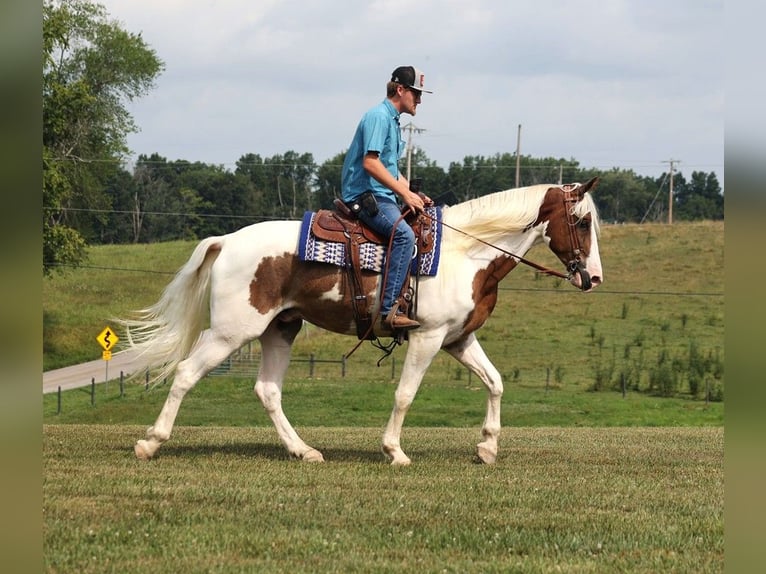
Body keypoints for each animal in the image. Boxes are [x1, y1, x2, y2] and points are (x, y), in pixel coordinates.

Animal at [120, 178, 603, 466]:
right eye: (582, 221)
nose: (593, 277)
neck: (466, 255)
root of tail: (226, 240)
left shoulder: (458, 340)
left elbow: (495, 382)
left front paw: (486, 446)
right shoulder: (427, 338)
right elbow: (406, 394)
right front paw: (394, 451)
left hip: (281, 329)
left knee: (268, 390)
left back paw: (303, 450)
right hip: (231, 332)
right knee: (186, 373)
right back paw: (150, 442)